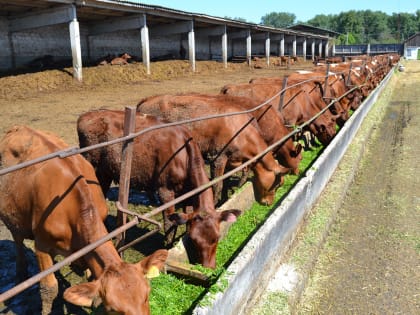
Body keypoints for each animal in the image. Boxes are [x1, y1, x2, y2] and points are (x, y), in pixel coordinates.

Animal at [0, 126, 167, 315]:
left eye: (147, 295)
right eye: (113, 309)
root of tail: (20, 128)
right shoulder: (41, 245)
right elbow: (49, 288)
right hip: (13, 219)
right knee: (17, 240)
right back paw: (21, 273)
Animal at [77, 110, 241, 270]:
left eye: (217, 237)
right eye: (194, 240)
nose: (208, 267)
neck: (184, 154)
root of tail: (86, 115)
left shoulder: (187, 194)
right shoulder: (165, 190)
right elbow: (169, 223)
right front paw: (168, 247)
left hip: (106, 171)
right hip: (93, 166)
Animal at [136, 94, 288, 207]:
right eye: (275, 185)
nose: (269, 203)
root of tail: (147, 100)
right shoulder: (217, 157)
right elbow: (217, 184)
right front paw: (215, 204)